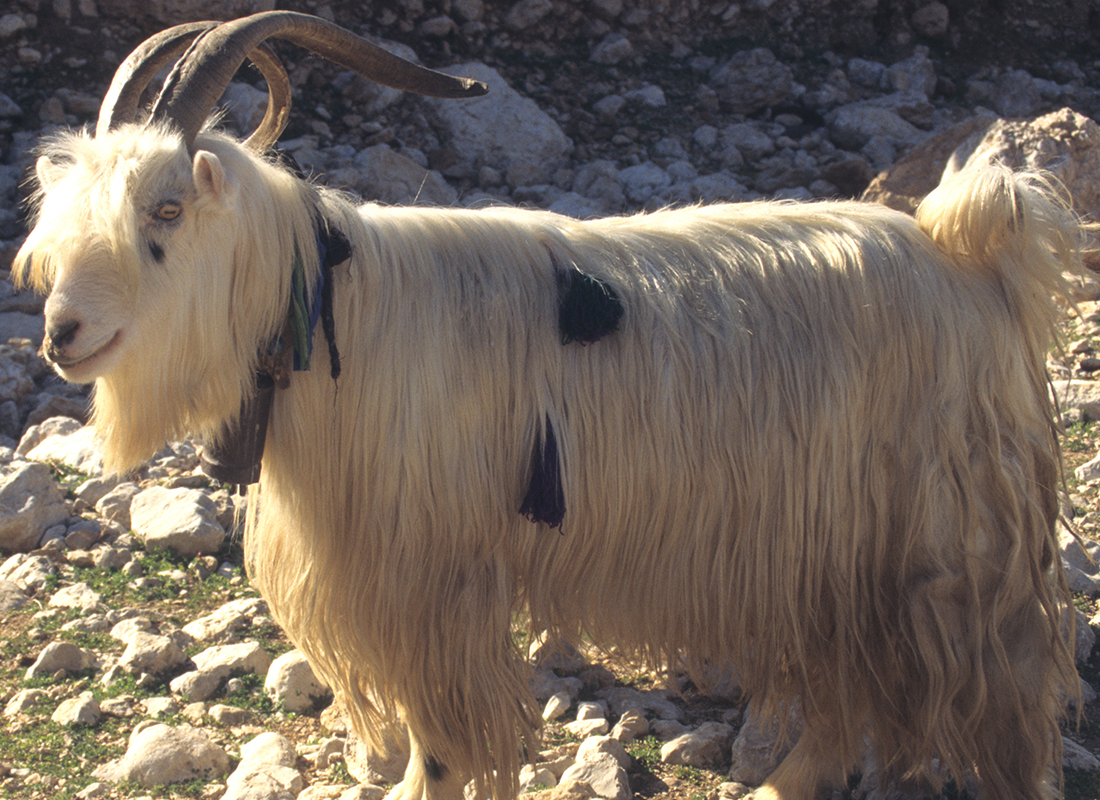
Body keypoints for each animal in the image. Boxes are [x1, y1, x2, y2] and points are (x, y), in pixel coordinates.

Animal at [12, 12, 1086, 800]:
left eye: (165, 209)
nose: (63, 334)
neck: (331, 308)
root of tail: (971, 255)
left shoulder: (433, 579)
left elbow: (442, 743)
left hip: (946, 551)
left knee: (997, 698)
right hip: (831, 555)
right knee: (839, 693)